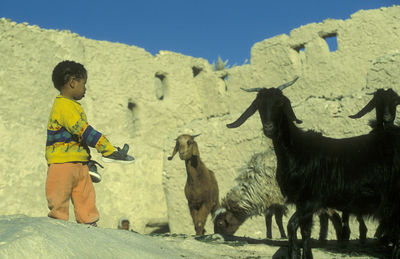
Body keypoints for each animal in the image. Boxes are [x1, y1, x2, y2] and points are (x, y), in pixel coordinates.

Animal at [227, 80, 400, 258]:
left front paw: (299, 254)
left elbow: (296, 227)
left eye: (280, 103)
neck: (297, 150)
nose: (269, 128)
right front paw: (301, 254)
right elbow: (301, 229)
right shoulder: (302, 202)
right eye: (259, 105)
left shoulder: (311, 200)